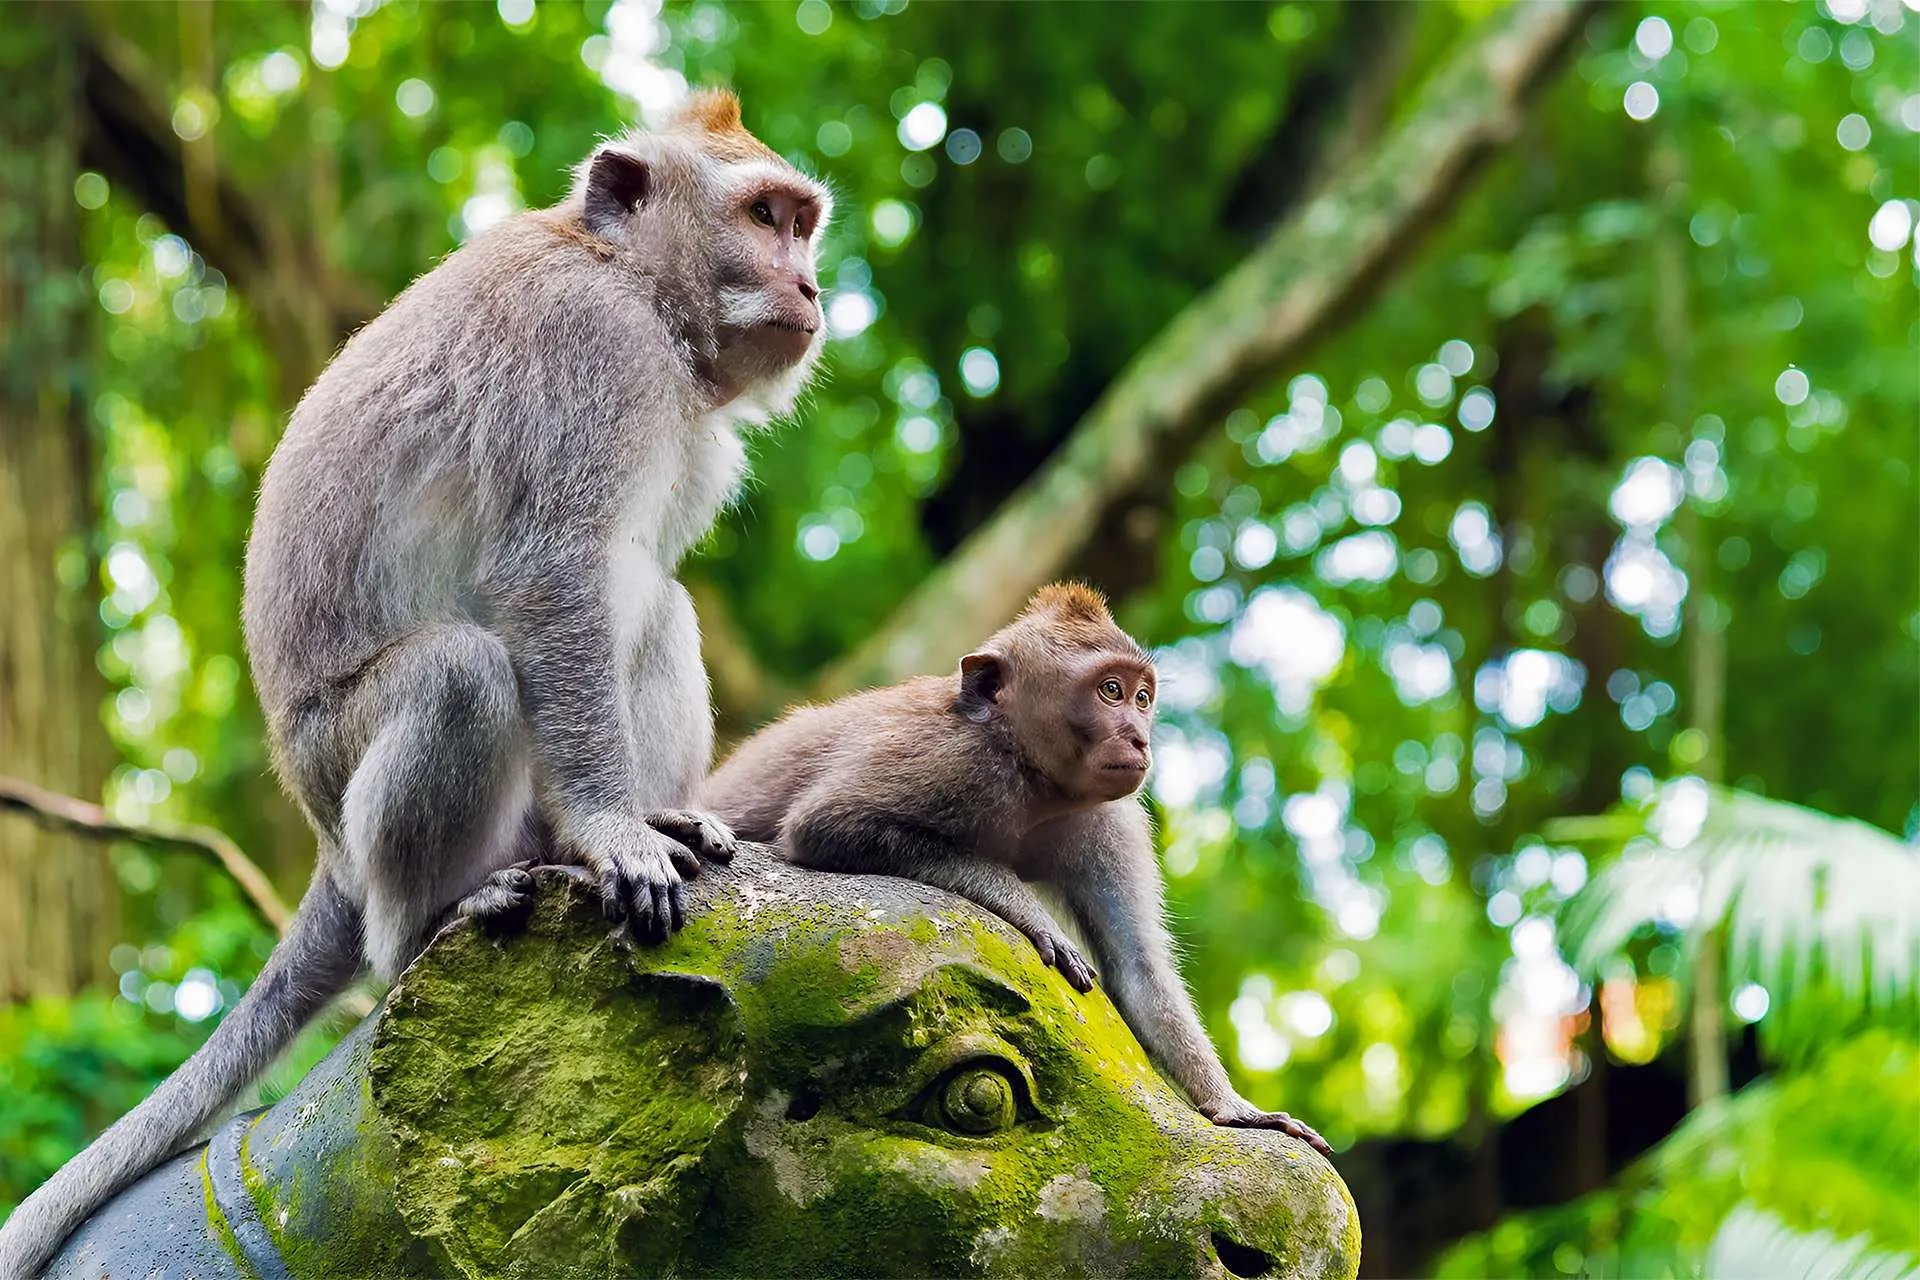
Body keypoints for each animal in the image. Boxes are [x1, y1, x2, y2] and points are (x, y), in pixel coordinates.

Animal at [0, 90, 833, 1277]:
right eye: (765, 216)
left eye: (801, 223)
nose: (811, 287)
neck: (630, 281)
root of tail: (325, 843)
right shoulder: (591, 349)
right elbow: (550, 572)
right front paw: (612, 832)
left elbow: (620, 589)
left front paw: (637, 818)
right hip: (340, 763)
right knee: (461, 674)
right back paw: (430, 918)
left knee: (657, 606)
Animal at [701, 584, 1332, 1156]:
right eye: (1110, 691)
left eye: (1143, 697)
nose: (1139, 738)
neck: (1033, 778)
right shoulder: (950, 756)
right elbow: (826, 823)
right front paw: (1032, 916)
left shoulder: (1110, 821)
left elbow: (1138, 968)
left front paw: (1234, 1109)